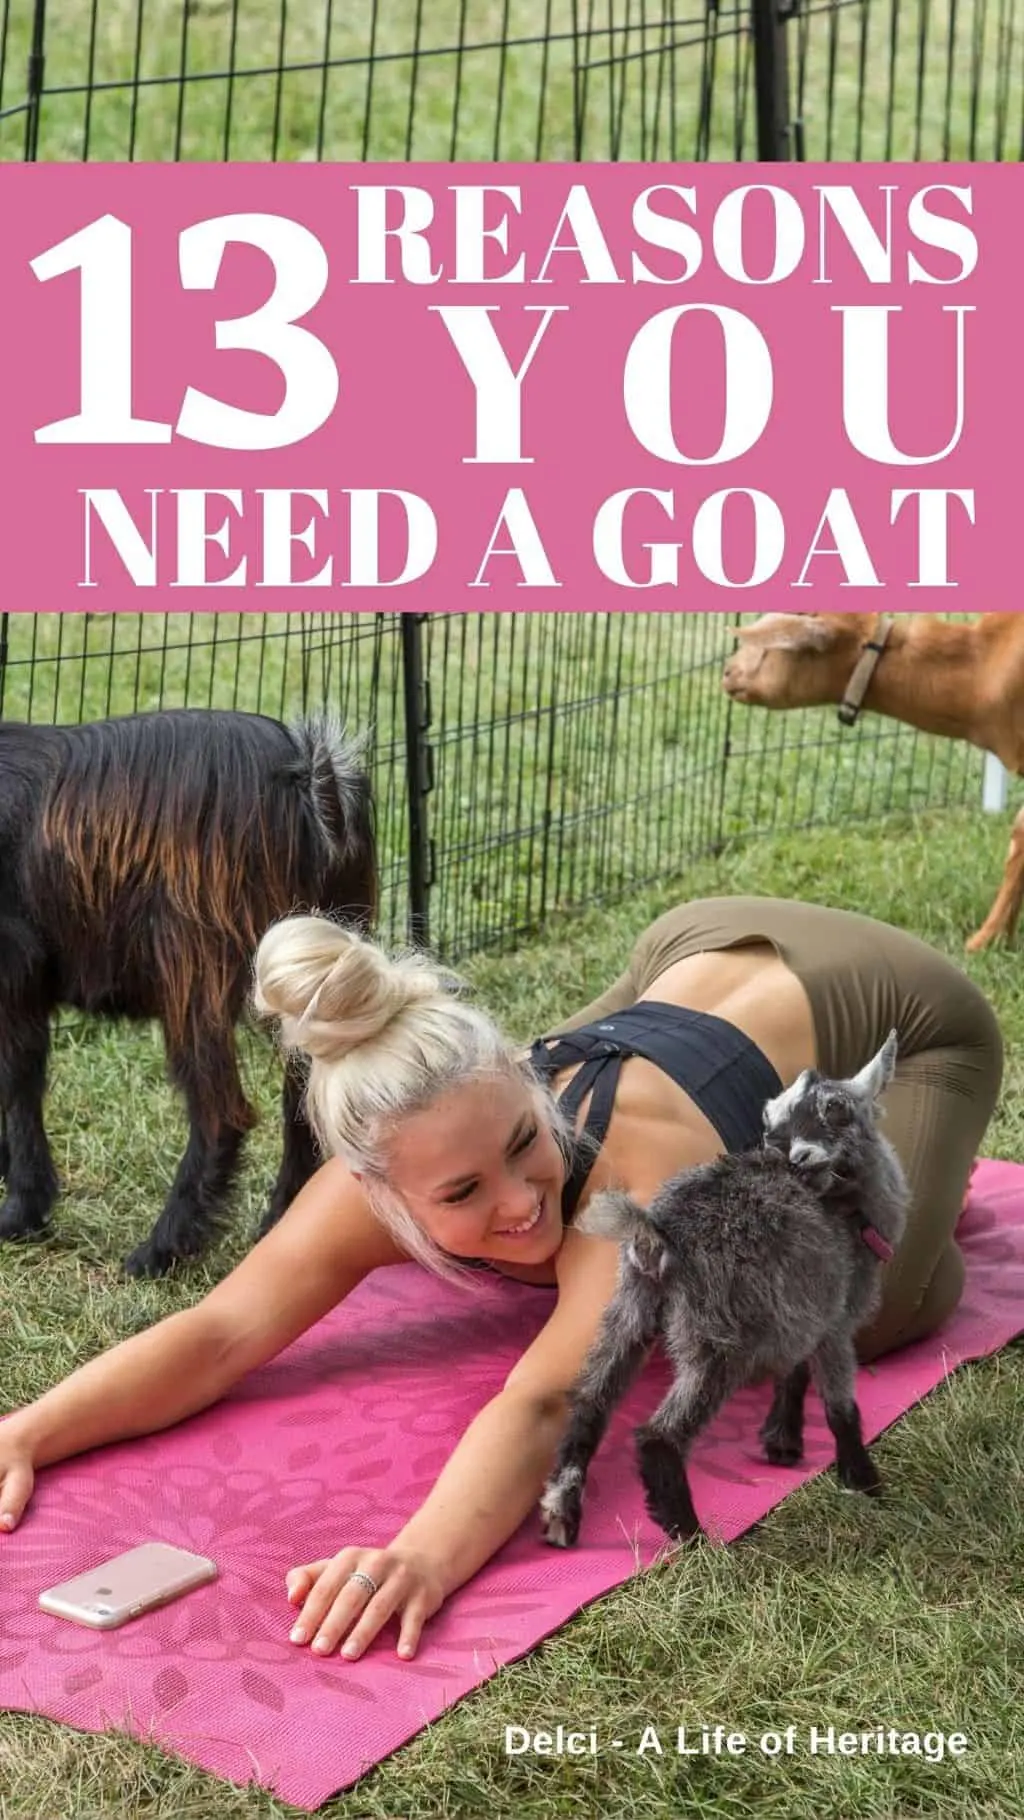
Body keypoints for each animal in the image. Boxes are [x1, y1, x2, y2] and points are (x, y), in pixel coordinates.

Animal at [0, 702, 376, 1274]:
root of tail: (314, 777)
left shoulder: (14, 972)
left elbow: (17, 1086)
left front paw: (20, 1213)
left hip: (193, 964)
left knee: (222, 1111)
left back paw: (161, 1249)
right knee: (305, 1098)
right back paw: (278, 1224)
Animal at [542, 1033, 909, 1543]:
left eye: (835, 1110)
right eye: (772, 1118)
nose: (794, 1157)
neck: (848, 1206)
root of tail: (657, 1232)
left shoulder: (802, 1307)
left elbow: (794, 1372)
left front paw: (783, 1443)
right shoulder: (835, 1319)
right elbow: (840, 1406)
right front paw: (863, 1482)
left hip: (631, 1307)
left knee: (591, 1399)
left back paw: (563, 1510)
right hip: (716, 1337)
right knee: (659, 1434)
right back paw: (689, 1532)